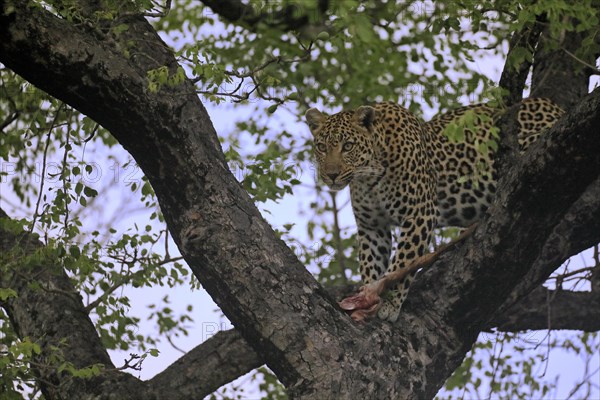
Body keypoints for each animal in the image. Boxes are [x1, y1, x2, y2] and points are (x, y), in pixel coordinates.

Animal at [308, 98, 564, 324]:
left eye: (348, 146)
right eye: (321, 147)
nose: (330, 175)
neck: (368, 177)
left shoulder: (419, 213)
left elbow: (403, 262)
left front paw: (390, 303)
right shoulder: (372, 227)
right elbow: (372, 264)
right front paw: (367, 298)